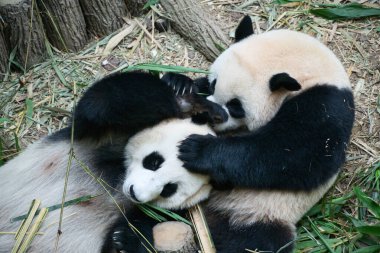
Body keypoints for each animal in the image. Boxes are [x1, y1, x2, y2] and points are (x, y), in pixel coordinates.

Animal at [0, 71, 223, 253]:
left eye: (169, 189)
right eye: (153, 162)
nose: (135, 193)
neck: (118, 176)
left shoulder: (155, 211)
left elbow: (149, 220)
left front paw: (124, 241)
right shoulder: (101, 136)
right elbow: (103, 101)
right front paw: (181, 89)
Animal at [160, 16, 354, 253]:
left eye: (236, 106)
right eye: (212, 85)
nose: (212, 117)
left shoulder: (326, 104)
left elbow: (292, 154)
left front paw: (197, 150)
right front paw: (178, 83)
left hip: (259, 213)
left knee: (253, 242)